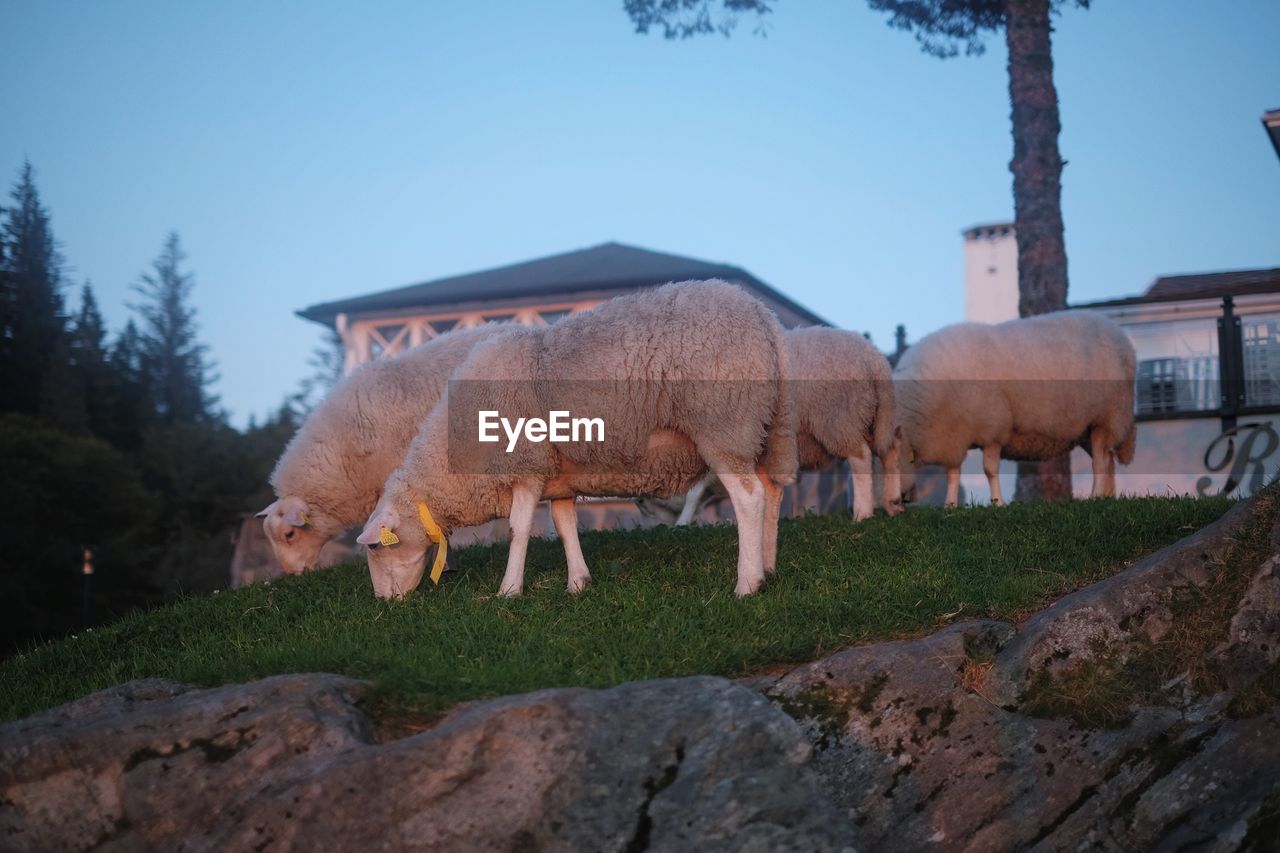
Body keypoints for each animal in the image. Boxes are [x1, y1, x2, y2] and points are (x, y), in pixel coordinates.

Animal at [355, 280, 793, 596]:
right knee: (771, 491)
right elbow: (565, 526)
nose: (384, 601)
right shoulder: (558, 478)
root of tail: (763, 316)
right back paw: (769, 567)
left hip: (725, 424)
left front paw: (508, 590)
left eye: (375, 548)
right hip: (766, 427)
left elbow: (517, 529)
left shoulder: (526, 467)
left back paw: (747, 583)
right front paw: (578, 584)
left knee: (749, 498)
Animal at [890, 308, 1141, 502]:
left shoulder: (992, 427)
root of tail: (1122, 339)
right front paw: (950, 507)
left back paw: (1095, 496)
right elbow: (953, 474)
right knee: (1108, 459)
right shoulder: (954, 435)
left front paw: (997, 503)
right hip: (1087, 431)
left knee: (1100, 463)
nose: (898, 500)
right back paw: (1108, 498)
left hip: (1106, 418)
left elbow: (989, 470)